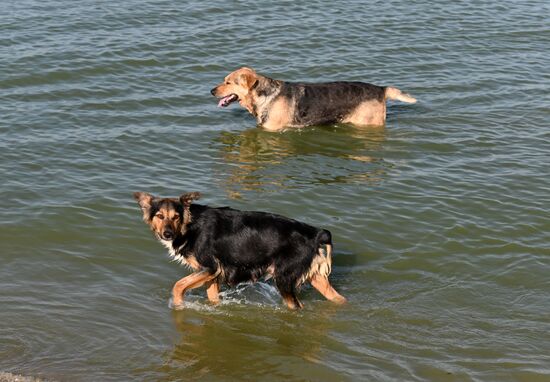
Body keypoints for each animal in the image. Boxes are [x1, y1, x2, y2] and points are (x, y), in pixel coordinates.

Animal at [134, 191, 348, 310]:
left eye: (175, 217)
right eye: (159, 216)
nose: (167, 234)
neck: (190, 225)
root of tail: (315, 233)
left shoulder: (210, 268)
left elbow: (178, 285)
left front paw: (178, 305)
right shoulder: (212, 274)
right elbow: (212, 297)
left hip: (284, 279)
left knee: (297, 306)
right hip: (314, 277)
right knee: (338, 298)